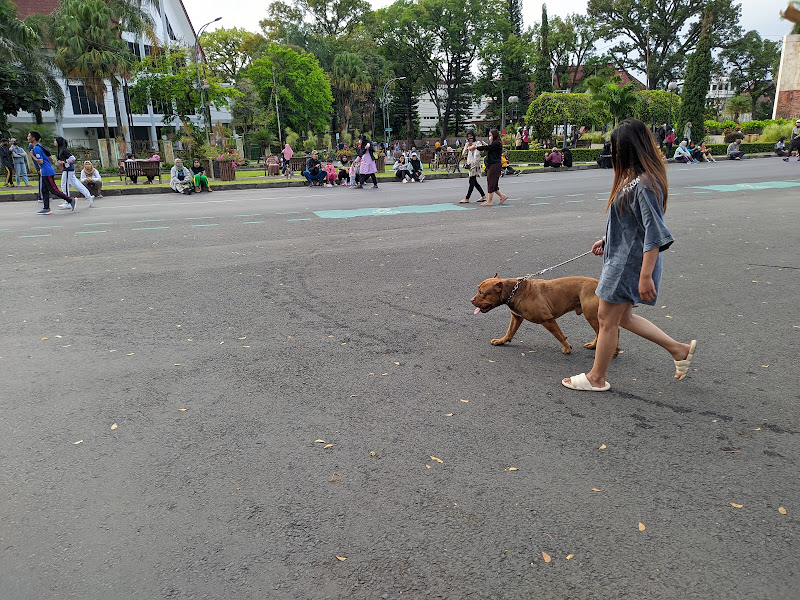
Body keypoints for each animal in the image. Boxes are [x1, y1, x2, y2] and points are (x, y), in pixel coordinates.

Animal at [468, 274, 612, 354]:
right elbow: (509, 332)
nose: (471, 300)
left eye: (481, 293)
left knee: (602, 333)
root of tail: (599, 285)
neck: (514, 291)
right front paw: (501, 341)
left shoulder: (547, 320)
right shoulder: (516, 317)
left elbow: (560, 335)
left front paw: (567, 348)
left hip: (591, 316)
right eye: (478, 290)